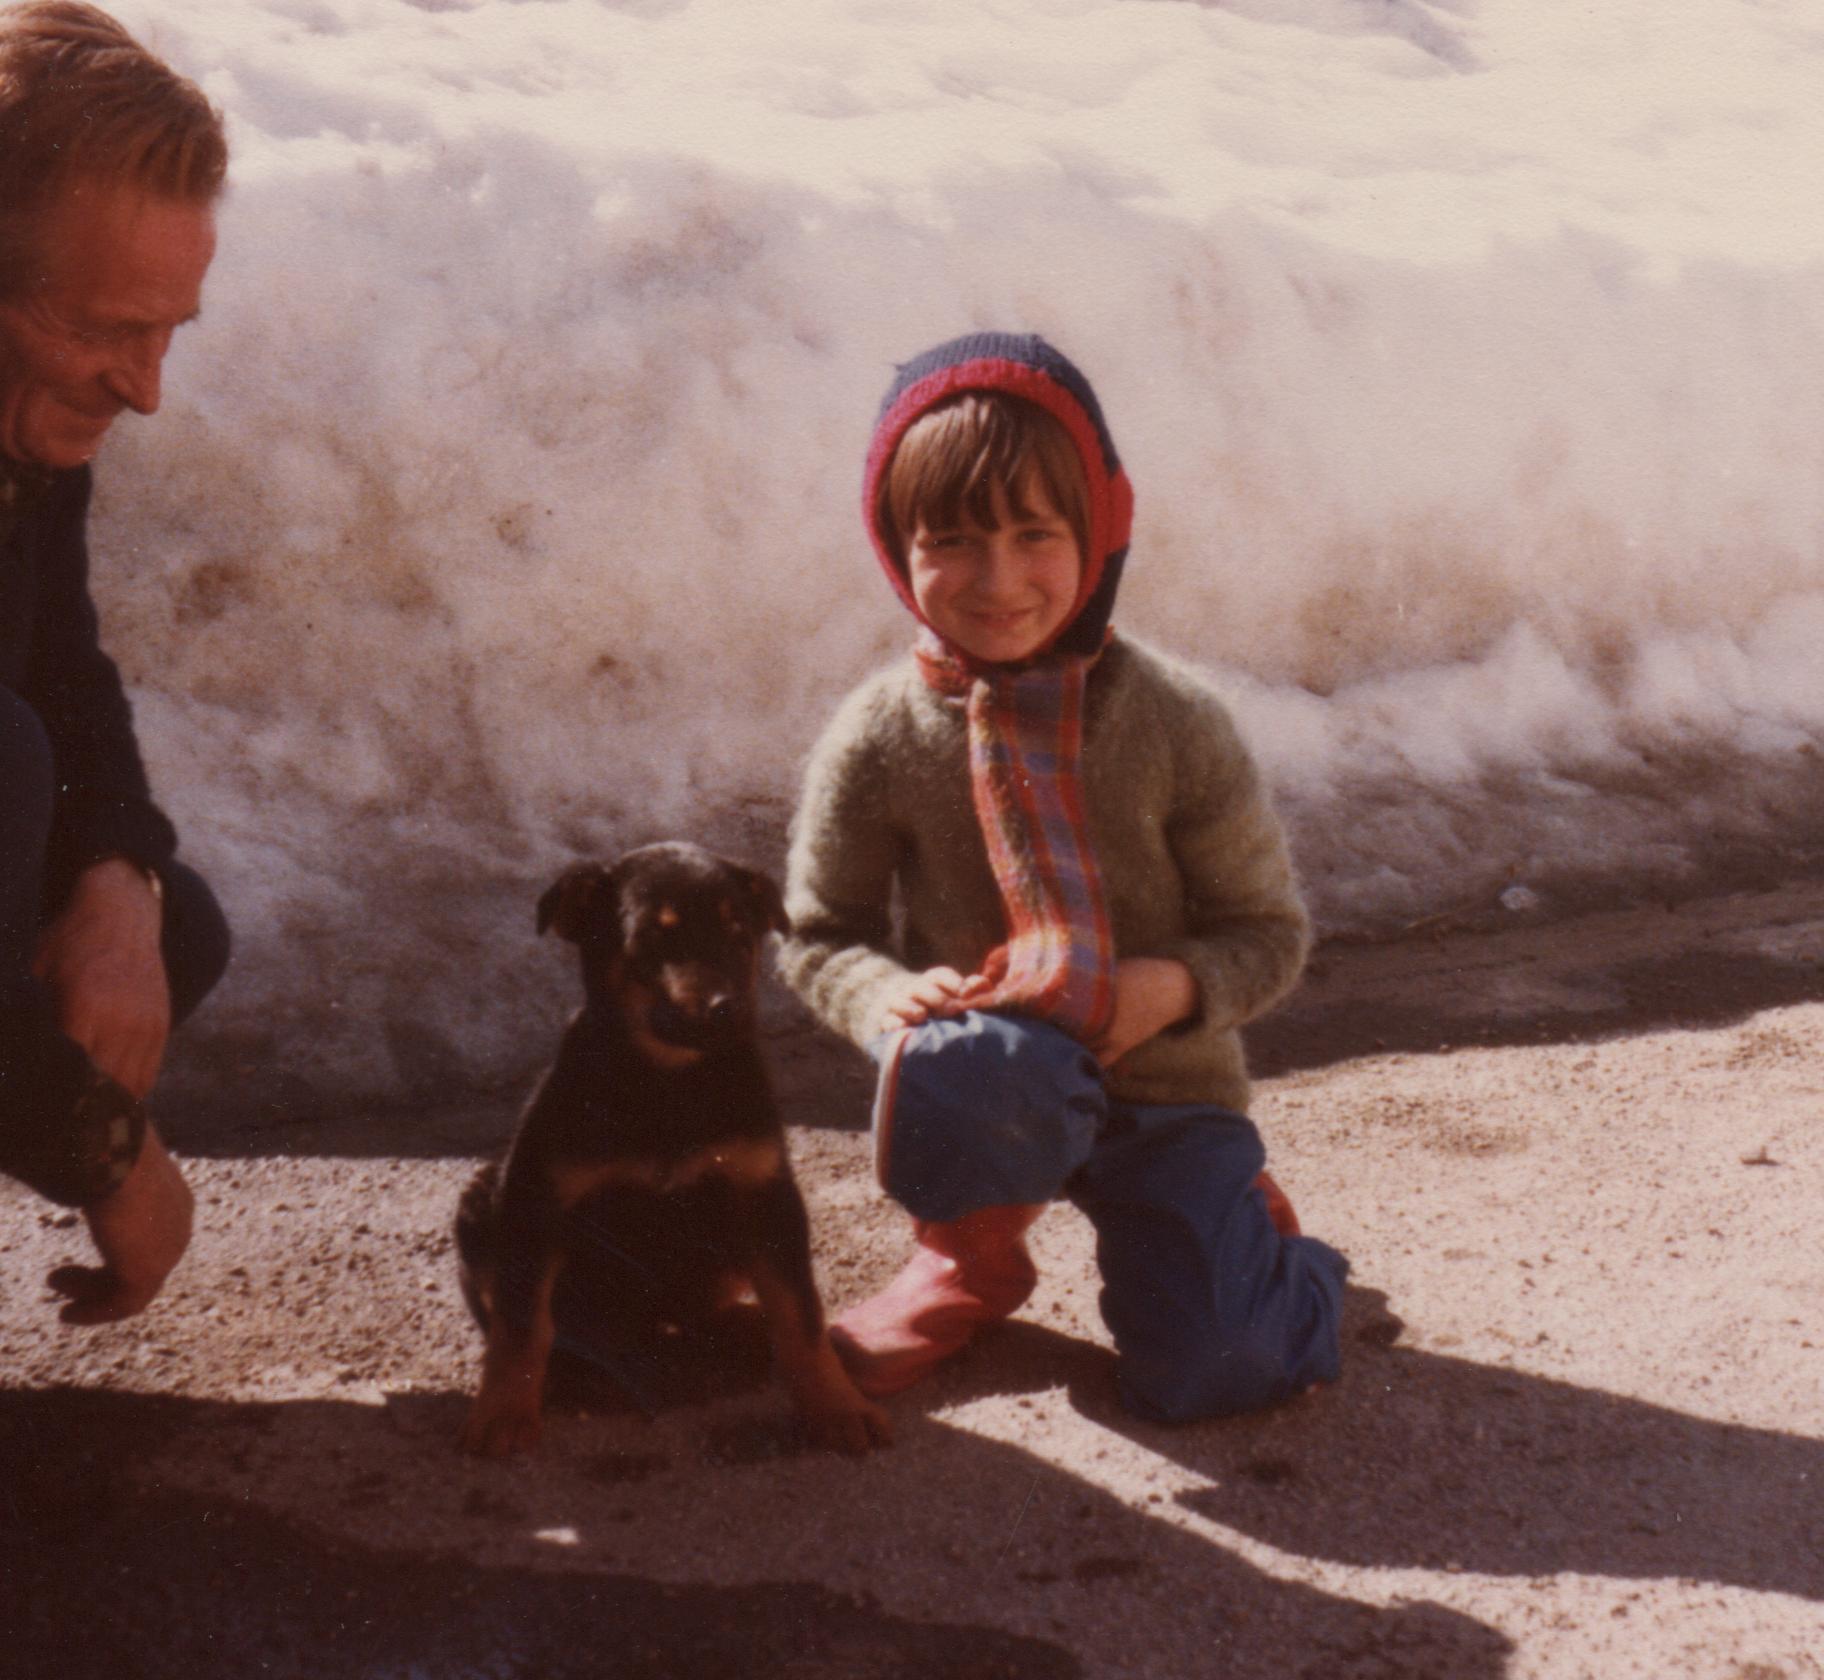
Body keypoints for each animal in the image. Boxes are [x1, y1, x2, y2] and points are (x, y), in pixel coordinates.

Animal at [455, 841, 890, 1457]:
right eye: (651, 939)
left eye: (740, 934)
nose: (727, 1009)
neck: (671, 1082)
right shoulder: (536, 1200)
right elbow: (521, 1323)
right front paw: (502, 1411)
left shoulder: (766, 1195)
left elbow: (799, 1312)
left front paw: (837, 1405)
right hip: (480, 1206)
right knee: (549, 1326)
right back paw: (578, 1374)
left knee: (705, 1315)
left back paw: (740, 1328)